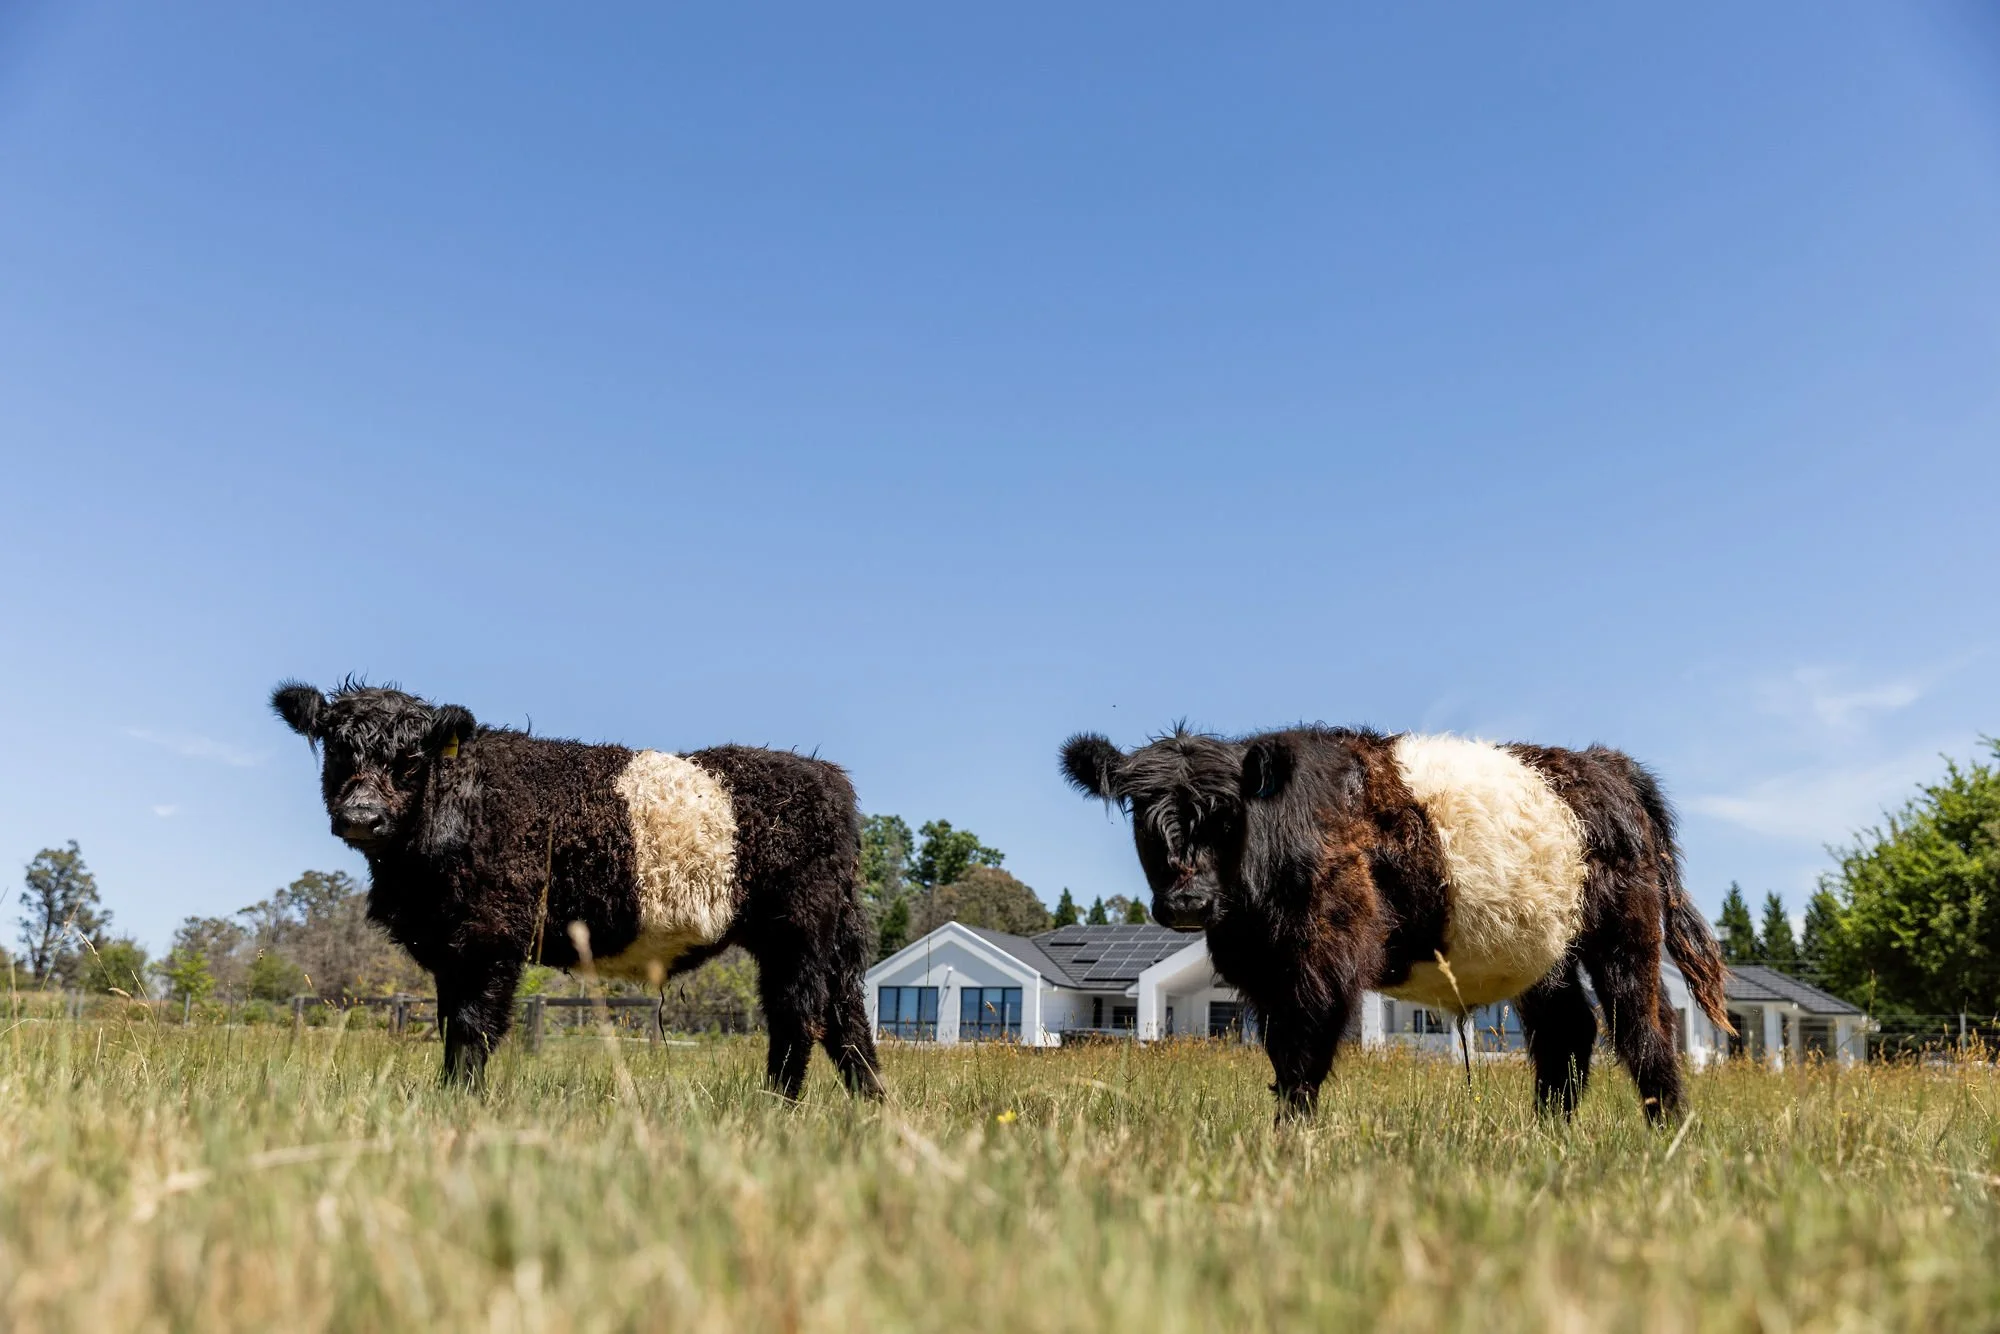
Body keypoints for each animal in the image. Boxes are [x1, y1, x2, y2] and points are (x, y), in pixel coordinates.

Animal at [273, 679, 884, 1099]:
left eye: (410, 759)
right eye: (336, 750)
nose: (361, 815)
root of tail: (828, 777)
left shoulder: (492, 935)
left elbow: (472, 1028)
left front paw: (460, 1104)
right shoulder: (449, 945)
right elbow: (449, 1024)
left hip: (797, 931)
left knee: (798, 1016)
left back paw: (778, 1107)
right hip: (825, 940)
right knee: (846, 1016)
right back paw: (872, 1109)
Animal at [1061, 725, 1733, 1123]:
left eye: (1228, 818)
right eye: (1142, 815)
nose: (1187, 903)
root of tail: (1606, 763)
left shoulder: (1323, 958)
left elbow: (1301, 1055)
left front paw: (1290, 1141)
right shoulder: (1260, 968)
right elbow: (1281, 1052)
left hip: (1624, 933)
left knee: (1644, 1026)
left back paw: (1667, 1130)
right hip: (1543, 952)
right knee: (1567, 1030)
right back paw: (1548, 1134)